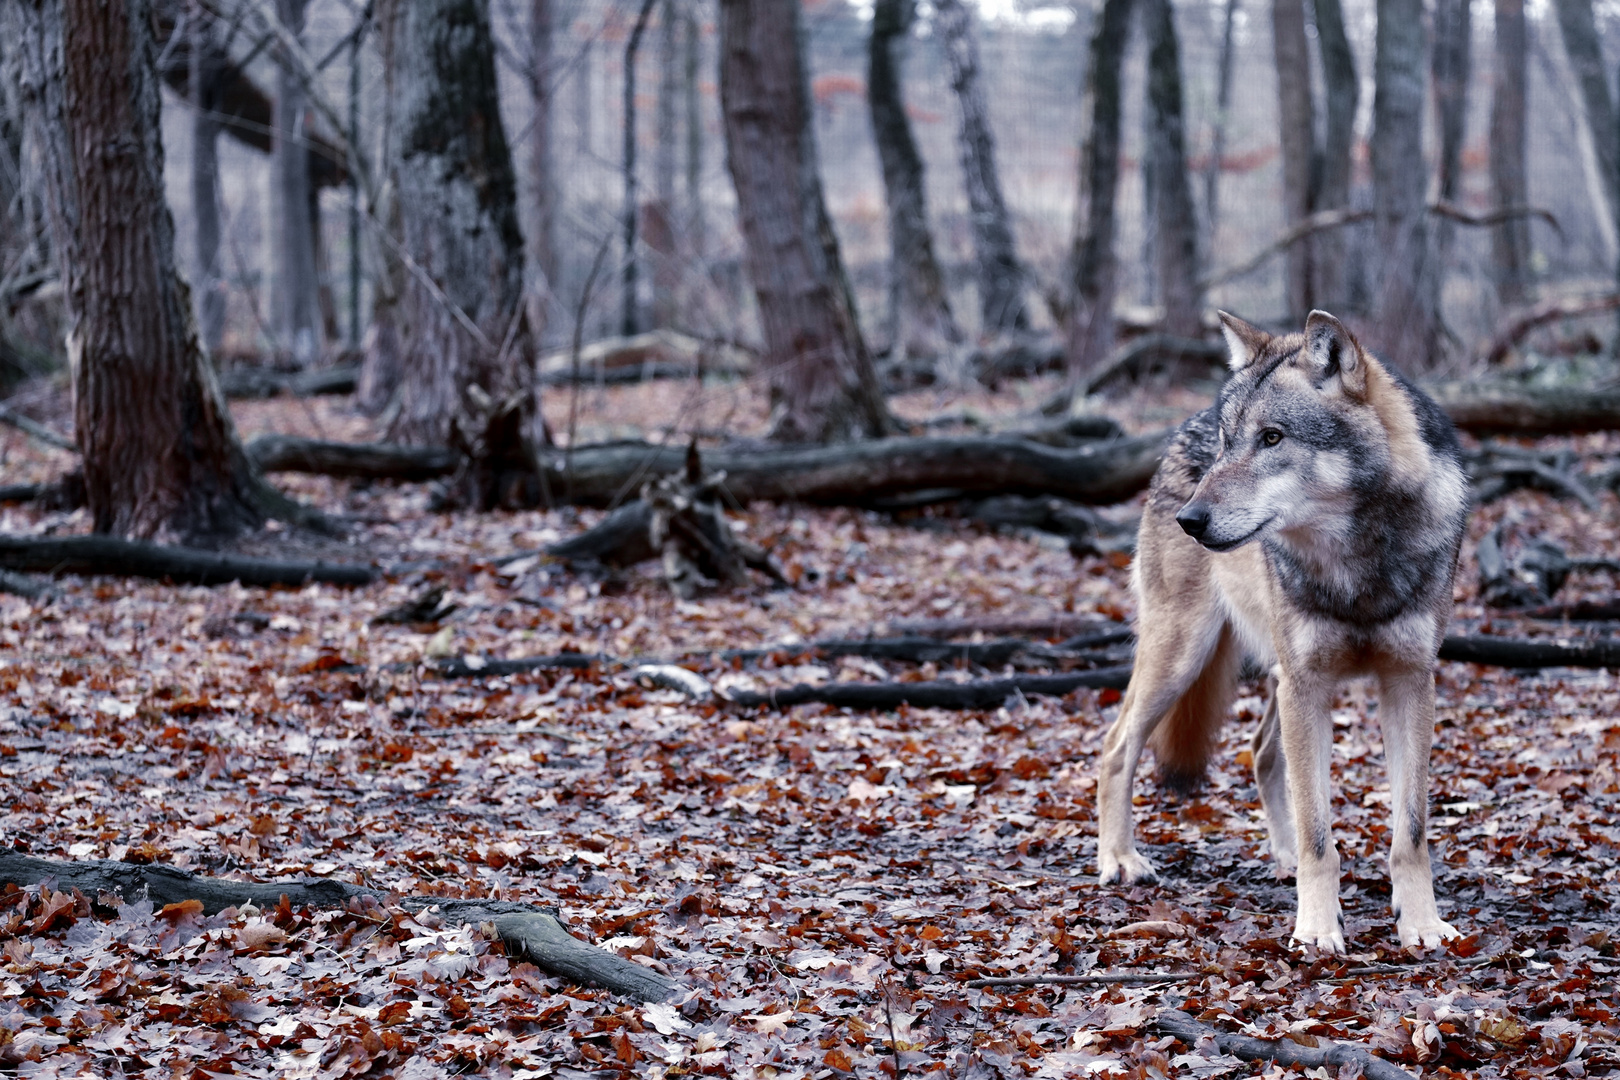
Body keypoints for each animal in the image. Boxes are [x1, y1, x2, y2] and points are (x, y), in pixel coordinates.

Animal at [1095, 307, 1477, 952]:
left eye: (1272, 438)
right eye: (1229, 442)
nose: (1191, 519)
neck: (1355, 564)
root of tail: (1183, 425)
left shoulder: (1409, 682)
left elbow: (1411, 831)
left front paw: (1421, 925)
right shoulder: (1310, 685)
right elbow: (1320, 836)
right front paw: (1317, 931)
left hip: (1273, 677)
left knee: (1261, 752)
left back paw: (1281, 857)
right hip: (1185, 657)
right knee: (1116, 746)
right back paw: (1119, 859)